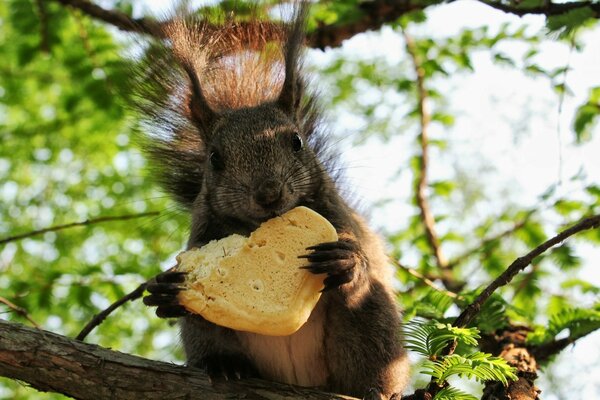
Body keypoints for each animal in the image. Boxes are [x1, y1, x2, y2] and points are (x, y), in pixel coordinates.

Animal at [137, 3, 408, 400]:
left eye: (296, 141)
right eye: (214, 158)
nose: (268, 194)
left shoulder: (338, 216)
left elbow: (360, 256)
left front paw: (346, 259)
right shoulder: (202, 233)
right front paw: (166, 291)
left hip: (372, 325)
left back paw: (377, 388)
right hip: (207, 336)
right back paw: (224, 365)